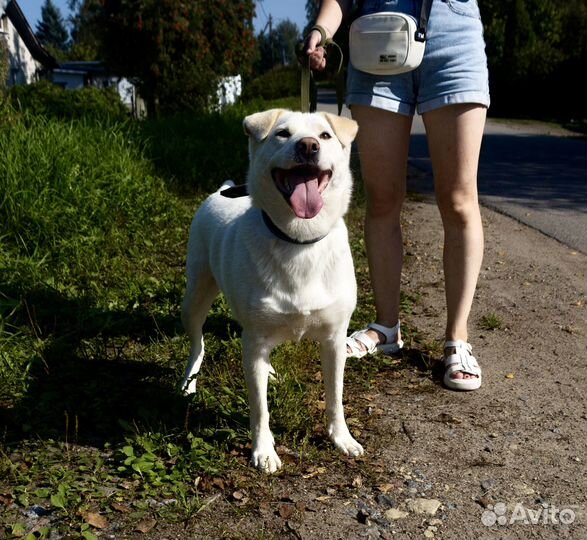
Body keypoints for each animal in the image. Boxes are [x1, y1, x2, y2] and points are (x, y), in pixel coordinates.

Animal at [180, 108, 362, 472]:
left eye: (324, 136)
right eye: (282, 134)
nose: (308, 146)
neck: (299, 241)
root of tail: (221, 191)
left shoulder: (335, 340)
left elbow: (335, 396)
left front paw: (341, 438)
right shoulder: (254, 341)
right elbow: (260, 407)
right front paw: (263, 451)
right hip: (195, 297)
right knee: (198, 343)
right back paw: (189, 381)